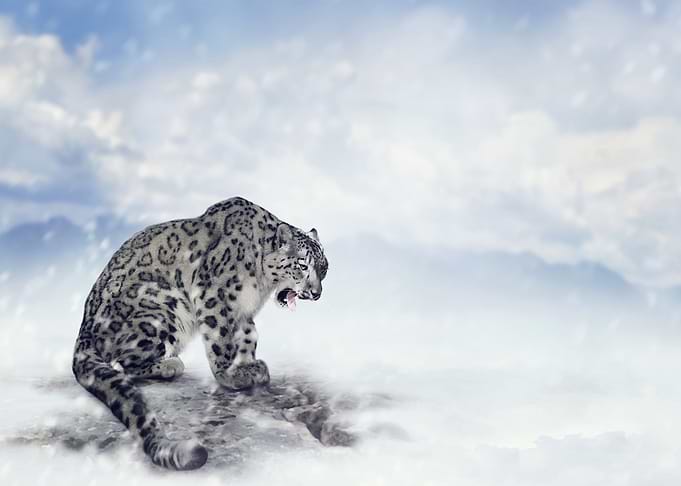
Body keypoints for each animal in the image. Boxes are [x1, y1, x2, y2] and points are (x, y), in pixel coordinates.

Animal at [72, 196, 328, 470]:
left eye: (324, 268)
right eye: (302, 265)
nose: (316, 293)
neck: (262, 286)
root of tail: (84, 330)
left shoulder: (242, 310)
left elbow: (249, 335)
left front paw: (249, 366)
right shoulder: (215, 294)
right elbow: (221, 338)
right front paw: (230, 374)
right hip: (164, 309)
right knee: (122, 361)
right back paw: (169, 365)